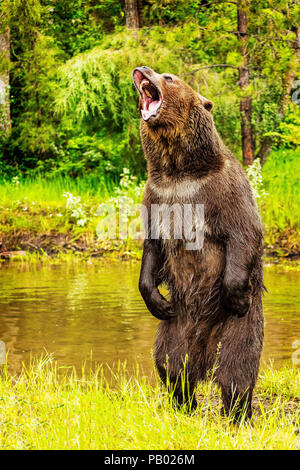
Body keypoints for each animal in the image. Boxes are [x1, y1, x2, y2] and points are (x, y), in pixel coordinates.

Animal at [132, 65, 264, 418]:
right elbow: (153, 245)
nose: (142, 69)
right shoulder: (156, 194)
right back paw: (183, 405)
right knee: (171, 364)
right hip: (177, 325)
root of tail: (205, 340)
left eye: (168, 77)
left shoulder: (223, 187)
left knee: (236, 369)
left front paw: (236, 295)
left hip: (237, 327)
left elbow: (243, 232)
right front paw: (155, 298)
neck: (178, 169)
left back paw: (237, 415)